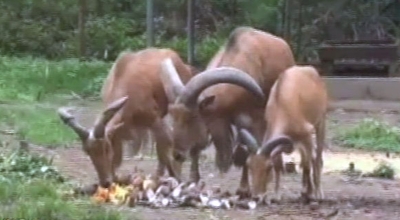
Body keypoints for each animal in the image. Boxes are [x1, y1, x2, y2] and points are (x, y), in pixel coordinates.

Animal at [57, 48, 193, 187]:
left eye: (106, 148)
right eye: (87, 151)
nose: (105, 182)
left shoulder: (155, 121)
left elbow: (164, 149)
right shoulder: (118, 132)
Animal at [159, 26, 294, 186]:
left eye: (191, 116)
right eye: (173, 115)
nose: (177, 155)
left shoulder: (255, 119)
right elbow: (198, 149)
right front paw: (194, 178)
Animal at [238, 65, 328, 201]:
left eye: (268, 167)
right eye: (249, 165)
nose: (256, 197)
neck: (282, 105)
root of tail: (310, 70)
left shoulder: (307, 134)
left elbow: (308, 164)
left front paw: (313, 193)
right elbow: (279, 164)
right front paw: (276, 195)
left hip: (320, 122)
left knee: (316, 157)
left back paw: (317, 192)